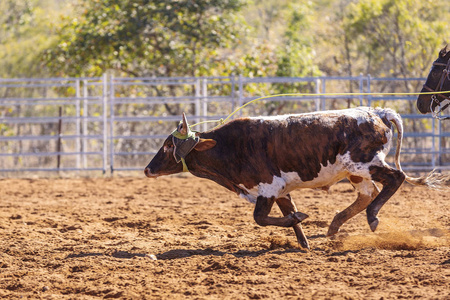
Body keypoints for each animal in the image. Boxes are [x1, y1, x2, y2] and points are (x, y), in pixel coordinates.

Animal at [145, 107, 446, 248]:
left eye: (169, 145)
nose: (148, 169)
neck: (230, 146)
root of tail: (378, 113)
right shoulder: (280, 190)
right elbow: (287, 213)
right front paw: (303, 240)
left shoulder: (268, 187)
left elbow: (260, 218)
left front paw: (299, 221)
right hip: (355, 172)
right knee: (366, 194)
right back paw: (335, 225)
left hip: (365, 164)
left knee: (394, 178)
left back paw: (371, 217)